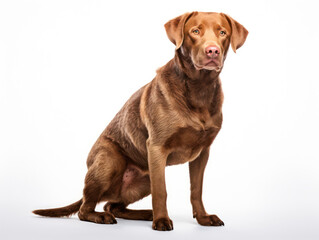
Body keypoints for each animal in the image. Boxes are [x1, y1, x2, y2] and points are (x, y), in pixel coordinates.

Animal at [34, 11, 250, 231]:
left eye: (222, 33)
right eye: (195, 31)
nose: (212, 50)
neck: (199, 88)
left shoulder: (203, 153)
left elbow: (196, 190)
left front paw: (203, 218)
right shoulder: (156, 148)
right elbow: (161, 190)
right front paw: (162, 220)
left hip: (143, 179)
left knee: (112, 206)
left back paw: (144, 213)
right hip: (110, 161)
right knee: (85, 209)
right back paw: (107, 217)